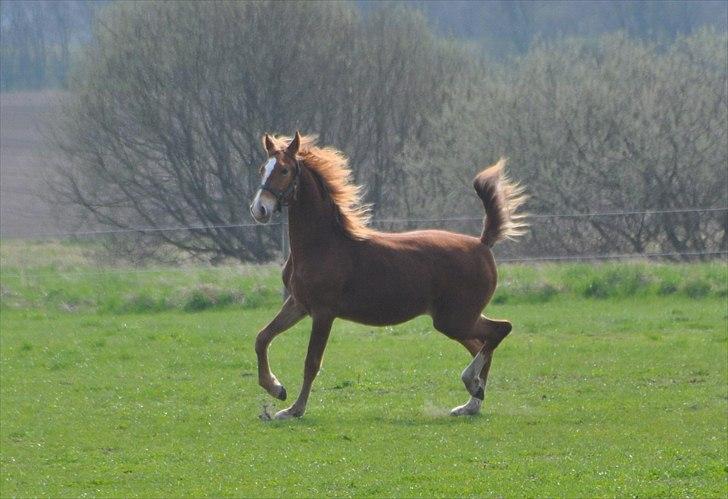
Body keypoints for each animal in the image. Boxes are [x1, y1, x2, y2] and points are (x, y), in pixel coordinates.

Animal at [249, 132, 524, 418]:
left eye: (284, 170)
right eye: (262, 169)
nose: (259, 209)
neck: (323, 244)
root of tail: (482, 244)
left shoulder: (323, 312)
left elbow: (311, 362)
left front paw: (294, 409)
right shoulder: (298, 304)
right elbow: (262, 338)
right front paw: (276, 389)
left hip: (455, 319)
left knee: (499, 330)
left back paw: (472, 384)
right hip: (456, 319)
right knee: (481, 344)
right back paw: (471, 401)